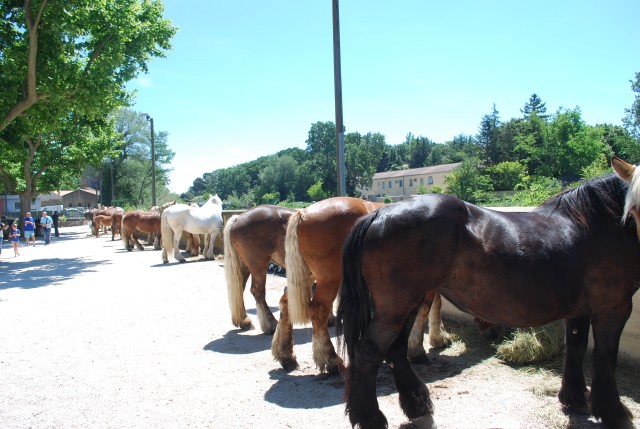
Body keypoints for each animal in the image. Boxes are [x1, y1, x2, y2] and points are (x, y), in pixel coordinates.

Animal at [224, 204, 296, 334]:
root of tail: (239, 218)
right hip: (258, 265)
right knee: (258, 292)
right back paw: (271, 324)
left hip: (245, 265)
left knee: (240, 288)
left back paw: (244, 321)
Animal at [270, 196, 450, 372]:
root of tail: (303, 213)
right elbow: (425, 308)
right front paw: (419, 348)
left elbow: (433, 304)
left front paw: (438, 336)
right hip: (329, 279)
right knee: (318, 311)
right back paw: (330, 359)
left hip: (306, 277)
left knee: (285, 303)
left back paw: (285, 355)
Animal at [336, 156, 640, 428]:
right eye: (633, 207)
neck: (598, 225)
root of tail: (378, 214)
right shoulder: (613, 309)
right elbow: (605, 357)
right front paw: (614, 413)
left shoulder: (581, 311)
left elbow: (575, 349)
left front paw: (575, 400)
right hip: (395, 308)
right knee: (369, 352)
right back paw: (370, 418)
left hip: (408, 304)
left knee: (396, 351)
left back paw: (417, 408)